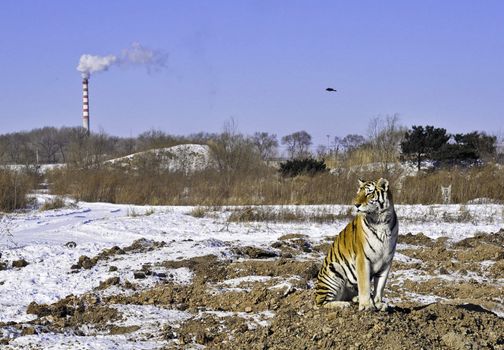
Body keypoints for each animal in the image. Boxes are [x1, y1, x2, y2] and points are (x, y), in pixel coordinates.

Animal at [316, 179, 398, 310]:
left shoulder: (386, 262)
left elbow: (380, 286)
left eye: (369, 193)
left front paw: (378, 304)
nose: (355, 204)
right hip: (333, 270)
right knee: (321, 303)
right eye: (358, 193)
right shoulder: (362, 259)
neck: (381, 221)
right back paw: (343, 304)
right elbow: (364, 284)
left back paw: (356, 299)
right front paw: (365, 306)